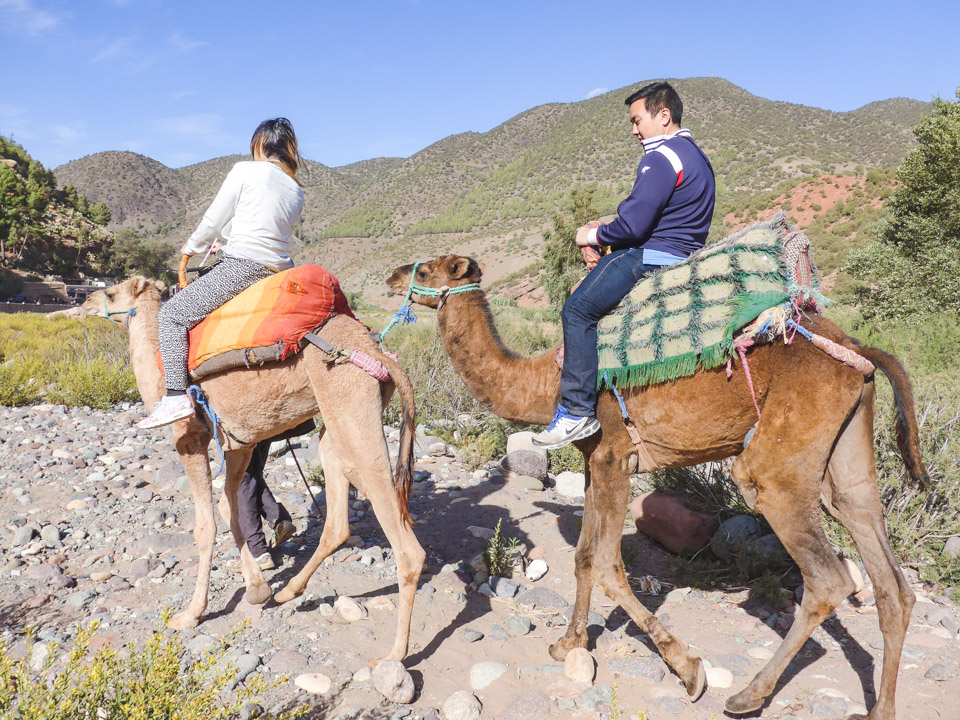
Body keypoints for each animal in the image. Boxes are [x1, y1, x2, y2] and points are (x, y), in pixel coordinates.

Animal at [82, 278, 428, 664]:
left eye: (111, 294)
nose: (85, 300)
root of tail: (379, 355)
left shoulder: (190, 437)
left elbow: (206, 525)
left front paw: (190, 614)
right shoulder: (240, 443)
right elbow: (231, 509)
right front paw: (258, 588)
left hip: (351, 407)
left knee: (406, 547)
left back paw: (394, 656)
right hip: (339, 424)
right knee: (337, 520)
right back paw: (288, 592)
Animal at [386, 256, 928, 716]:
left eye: (429, 268)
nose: (391, 278)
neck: (544, 381)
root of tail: (857, 350)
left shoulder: (615, 456)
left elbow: (606, 565)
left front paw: (688, 670)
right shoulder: (594, 459)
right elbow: (584, 556)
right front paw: (568, 643)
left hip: (780, 459)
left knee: (825, 574)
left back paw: (748, 695)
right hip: (848, 445)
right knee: (883, 567)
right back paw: (880, 709)